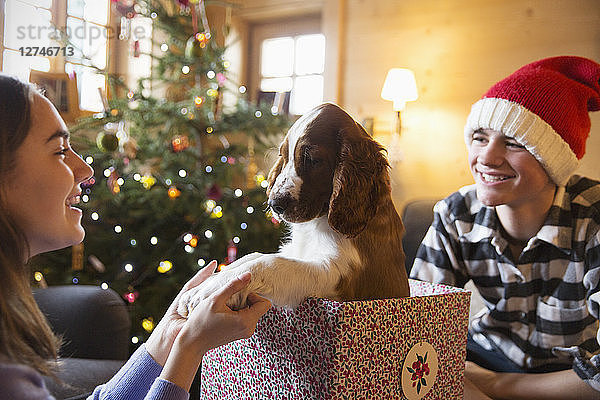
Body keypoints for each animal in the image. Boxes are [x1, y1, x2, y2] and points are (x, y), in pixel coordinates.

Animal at [176, 101, 410, 314]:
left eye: (312, 159)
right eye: (284, 155)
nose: (274, 204)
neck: (319, 222)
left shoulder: (339, 274)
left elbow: (269, 263)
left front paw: (207, 291)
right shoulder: (296, 252)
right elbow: (252, 255)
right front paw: (207, 283)